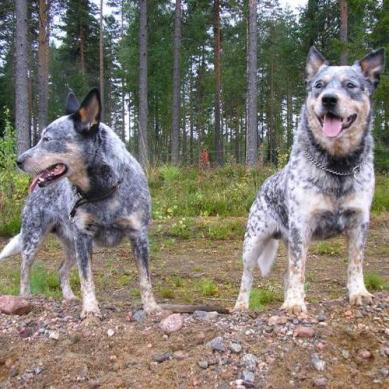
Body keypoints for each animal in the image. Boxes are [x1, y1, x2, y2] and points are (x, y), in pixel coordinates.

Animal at [2, 88, 160, 318]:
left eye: (47, 139)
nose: (18, 161)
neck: (103, 192)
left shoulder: (138, 235)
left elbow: (145, 278)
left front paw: (151, 307)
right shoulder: (84, 237)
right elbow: (87, 279)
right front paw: (91, 309)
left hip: (71, 245)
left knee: (61, 269)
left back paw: (68, 297)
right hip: (35, 237)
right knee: (24, 268)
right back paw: (24, 297)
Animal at [232, 46, 384, 312]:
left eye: (351, 85)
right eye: (319, 85)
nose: (329, 99)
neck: (337, 166)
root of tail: (264, 184)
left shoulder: (359, 222)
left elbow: (355, 263)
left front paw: (359, 292)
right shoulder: (301, 226)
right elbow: (297, 270)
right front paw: (294, 303)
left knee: (285, 275)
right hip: (254, 241)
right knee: (247, 276)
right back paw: (241, 305)